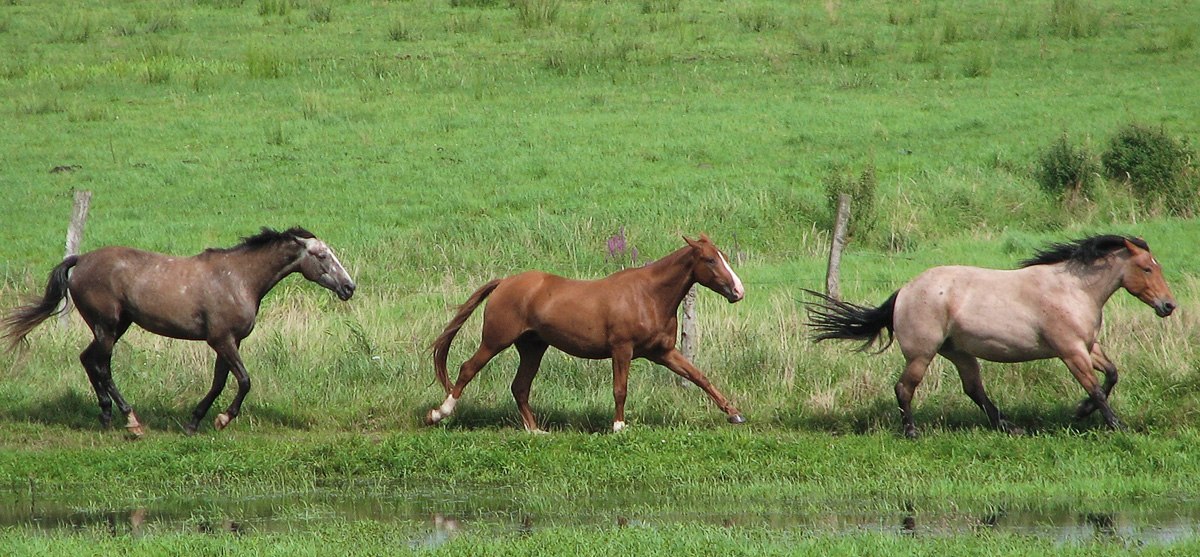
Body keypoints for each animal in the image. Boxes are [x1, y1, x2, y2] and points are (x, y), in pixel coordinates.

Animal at [2, 227, 356, 436]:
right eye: (322, 255)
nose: (349, 287)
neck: (239, 279)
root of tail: (80, 259)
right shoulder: (222, 340)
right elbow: (244, 381)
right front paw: (223, 418)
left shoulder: (228, 342)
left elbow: (218, 382)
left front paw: (196, 421)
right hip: (107, 326)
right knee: (100, 365)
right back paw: (130, 420)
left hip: (116, 326)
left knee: (88, 360)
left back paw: (106, 415)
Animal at [426, 234, 747, 433]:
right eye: (710, 260)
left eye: (724, 256)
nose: (738, 291)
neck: (648, 296)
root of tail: (505, 282)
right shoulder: (622, 349)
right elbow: (620, 389)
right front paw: (618, 426)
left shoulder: (663, 352)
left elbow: (700, 378)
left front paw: (734, 413)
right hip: (496, 340)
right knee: (468, 369)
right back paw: (439, 413)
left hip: (532, 347)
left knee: (520, 386)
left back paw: (536, 431)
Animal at [804, 235, 1176, 438]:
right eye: (1147, 268)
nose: (1168, 305)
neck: (1073, 289)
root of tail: (904, 291)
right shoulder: (1071, 351)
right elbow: (1097, 388)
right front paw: (1115, 425)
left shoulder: (1088, 346)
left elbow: (1112, 374)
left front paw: (1081, 412)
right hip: (922, 354)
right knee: (904, 388)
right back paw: (911, 431)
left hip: (959, 352)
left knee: (974, 390)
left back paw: (1009, 426)